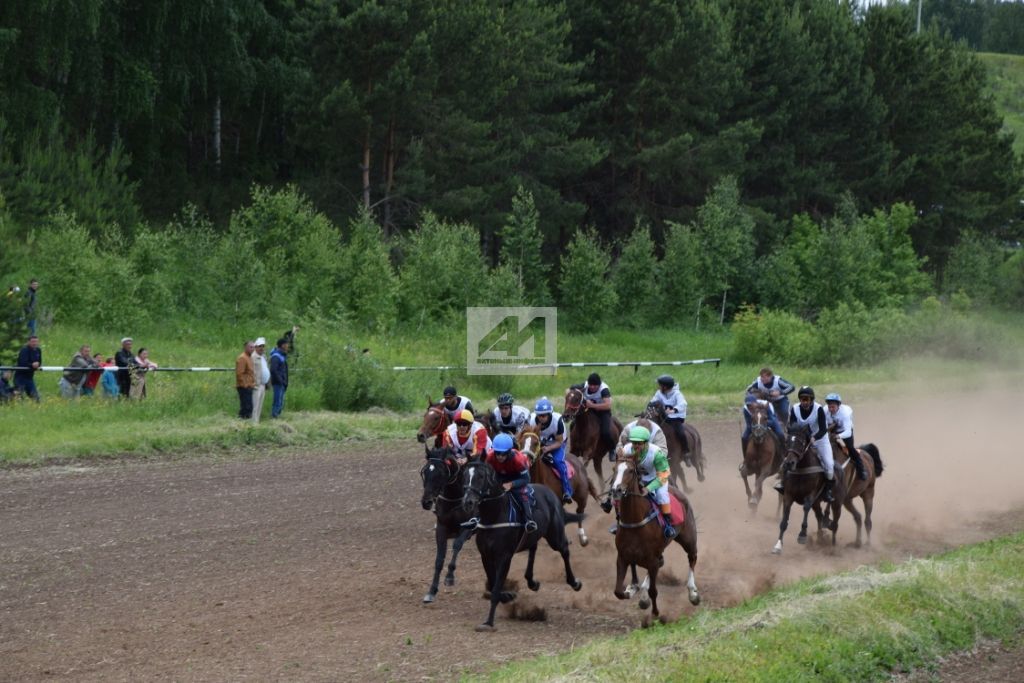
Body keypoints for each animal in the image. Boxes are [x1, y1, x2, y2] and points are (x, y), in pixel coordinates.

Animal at [415, 448, 475, 602]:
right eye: (424, 472)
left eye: (441, 473)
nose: (426, 502)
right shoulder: (441, 529)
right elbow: (439, 559)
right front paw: (432, 590)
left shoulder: (469, 527)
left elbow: (457, 545)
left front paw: (449, 577)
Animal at [460, 462, 581, 634]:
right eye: (464, 476)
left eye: (481, 477)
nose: (467, 502)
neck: (494, 516)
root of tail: (551, 494)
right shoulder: (486, 555)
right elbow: (493, 585)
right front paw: (508, 596)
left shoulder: (505, 556)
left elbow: (495, 589)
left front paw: (489, 622)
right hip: (533, 535)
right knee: (533, 548)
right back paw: (531, 581)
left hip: (554, 536)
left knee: (564, 550)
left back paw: (574, 582)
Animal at [610, 454, 700, 618]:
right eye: (614, 469)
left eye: (630, 471)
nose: (616, 490)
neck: (635, 521)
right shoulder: (622, 556)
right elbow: (618, 591)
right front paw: (631, 590)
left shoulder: (651, 558)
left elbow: (653, 590)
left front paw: (655, 613)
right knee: (659, 563)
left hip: (688, 537)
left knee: (692, 557)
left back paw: (693, 593)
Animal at [770, 428, 843, 557]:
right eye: (787, 442)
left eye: (801, 443)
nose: (789, 463)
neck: (801, 469)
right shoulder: (788, 496)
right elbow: (784, 521)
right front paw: (778, 545)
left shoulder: (810, 496)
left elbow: (805, 508)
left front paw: (802, 535)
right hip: (817, 503)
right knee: (819, 516)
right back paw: (820, 538)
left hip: (836, 503)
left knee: (834, 523)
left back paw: (832, 548)